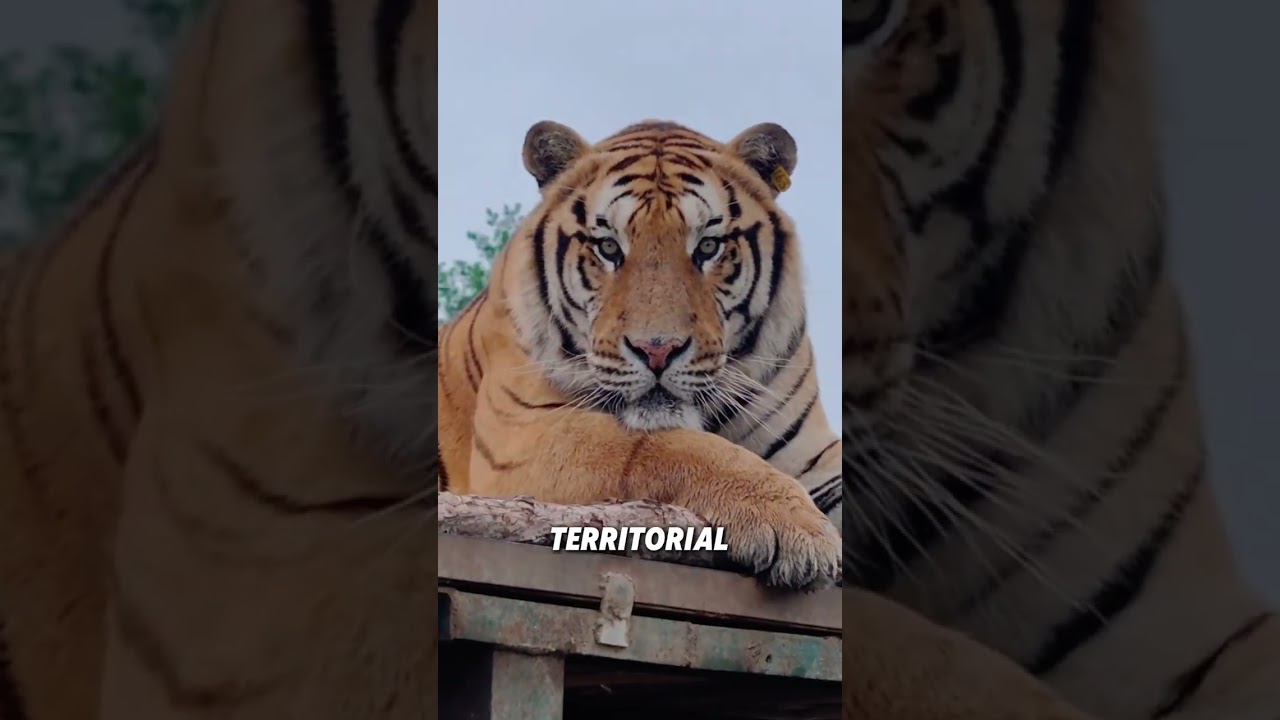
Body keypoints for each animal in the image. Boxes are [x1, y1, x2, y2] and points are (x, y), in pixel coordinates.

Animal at [436, 119, 845, 591]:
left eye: (708, 247)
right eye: (609, 248)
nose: (657, 350)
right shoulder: (521, 437)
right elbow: (663, 444)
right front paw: (796, 526)